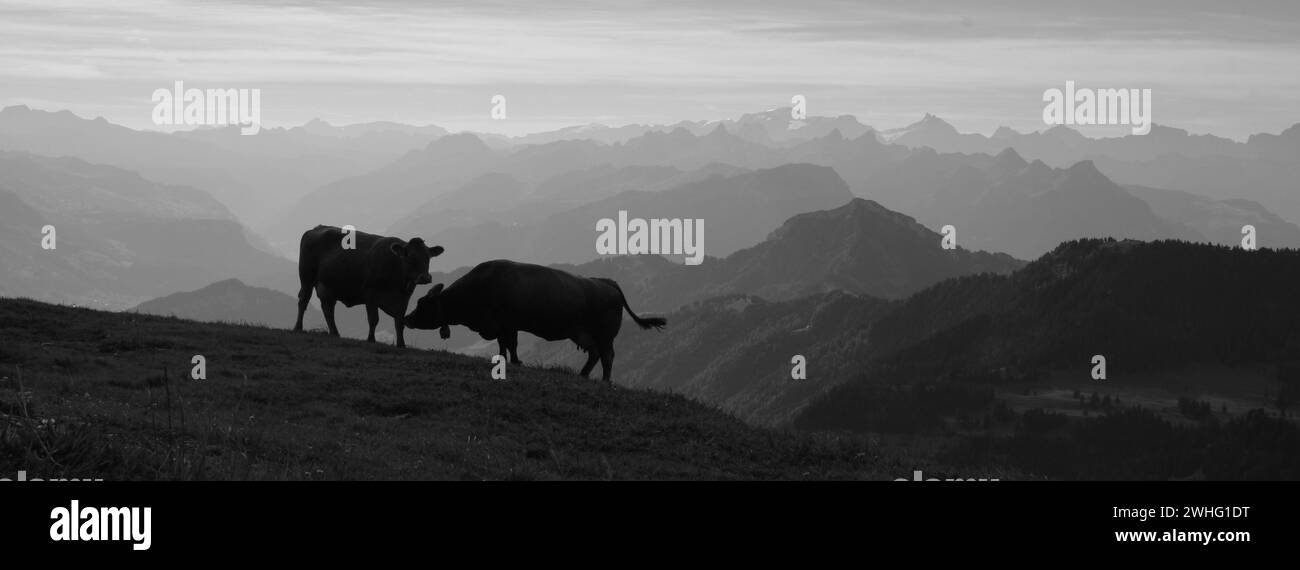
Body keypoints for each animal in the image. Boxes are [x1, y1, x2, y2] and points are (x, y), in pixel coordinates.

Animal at [293, 223, 444, 346]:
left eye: (428, 257)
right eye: (411, 257)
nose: (425, 277)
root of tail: (316, 228)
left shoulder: (404, 299)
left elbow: (399, 322)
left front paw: (401, 344)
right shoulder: (370, 294)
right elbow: (373, 319)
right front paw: (371, 339)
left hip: (329, 287)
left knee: (328, 308)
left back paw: (335, 333)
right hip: (306, 278)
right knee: (303, 300)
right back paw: (298, 328)